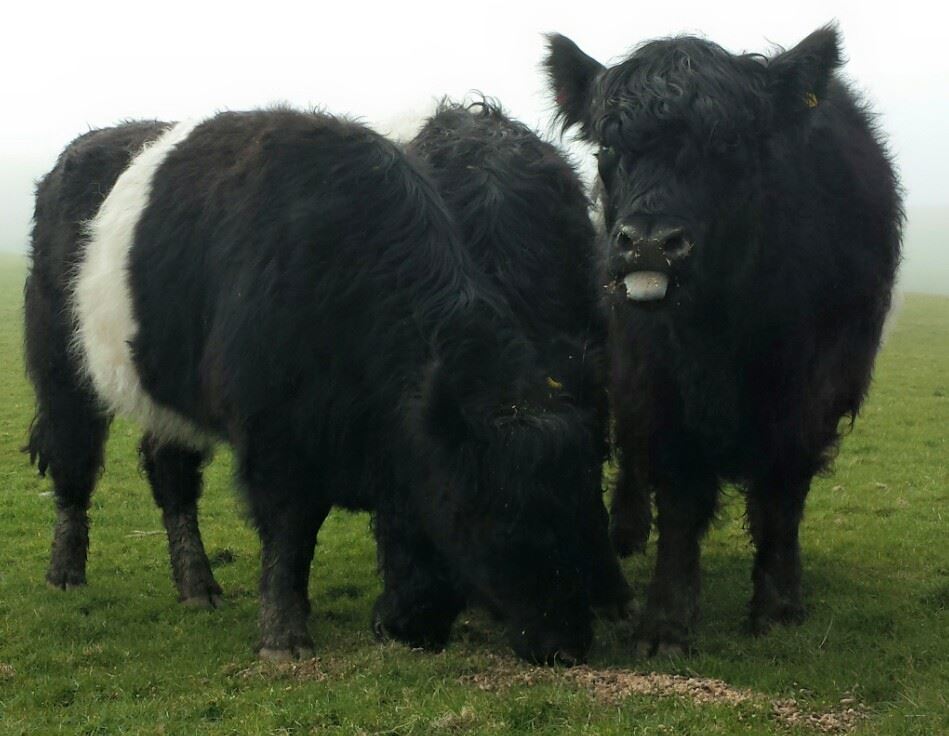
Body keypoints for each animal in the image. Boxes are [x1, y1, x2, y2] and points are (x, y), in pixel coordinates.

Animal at [545, 26, 902, 654]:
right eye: (608, 148)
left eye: (729, 145)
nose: (649, 244)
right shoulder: (654, 380)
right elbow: (679, 496)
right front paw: (665, 624)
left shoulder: (816, 386)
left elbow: (782, 494)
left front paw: (778, 608)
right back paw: (626, 531)